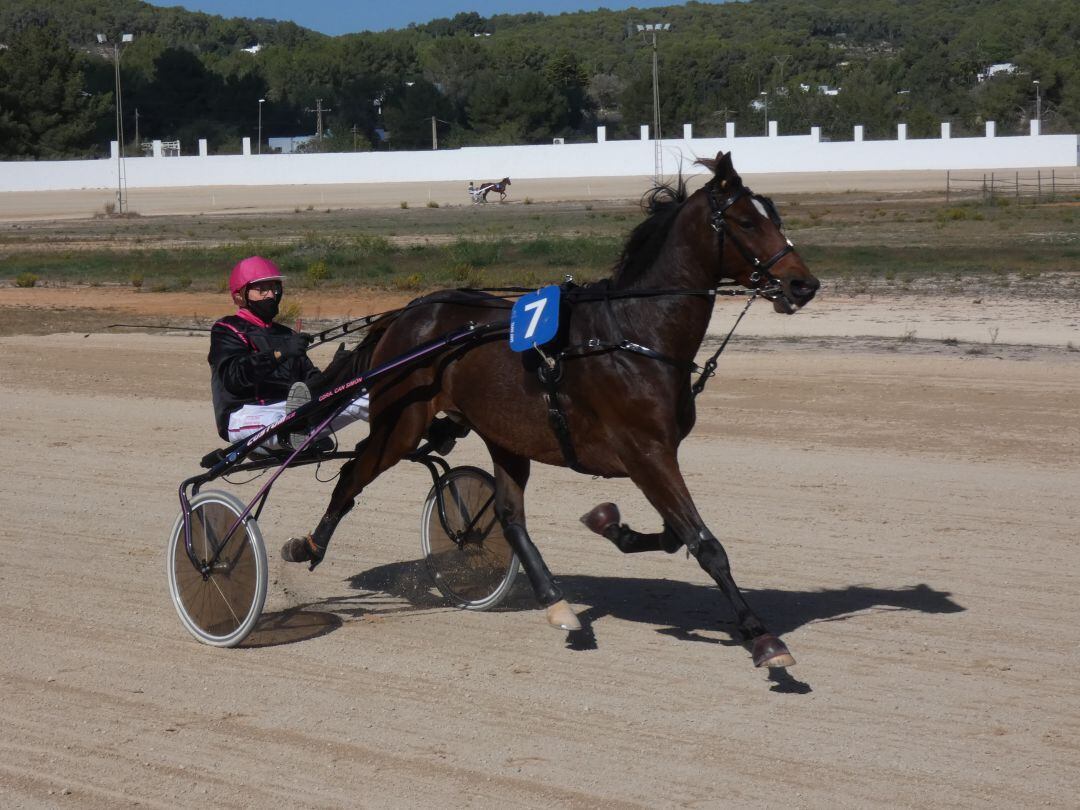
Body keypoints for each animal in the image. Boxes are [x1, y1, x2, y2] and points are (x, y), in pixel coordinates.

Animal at [287, 153, 816, 673]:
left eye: (776, 217)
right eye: (746, 221)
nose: (803, 284)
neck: (633, 336)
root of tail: (410, 311)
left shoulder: (658, 454)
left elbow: (674, 535)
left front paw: (611, 524)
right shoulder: (645, 452)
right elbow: (704, 542)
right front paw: (763, 638)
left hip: (502, 433)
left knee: (508, 515)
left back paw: (555, 601)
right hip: (401, 424)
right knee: (353, 472)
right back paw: (308, 544)